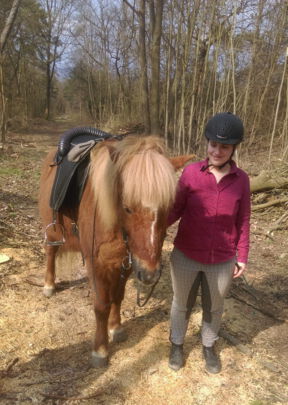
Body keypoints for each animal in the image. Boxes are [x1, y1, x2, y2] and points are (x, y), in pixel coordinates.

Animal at [38, 135, 191, 366]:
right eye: (127, 207)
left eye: (168, 207)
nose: (150, 274)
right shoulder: (96, 264)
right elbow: (101, 304)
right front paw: (100, 349)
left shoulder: (127, 263)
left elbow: (117, 296)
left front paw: (116, 328)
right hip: (53, 230)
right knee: (50, 253)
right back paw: (48, 285)